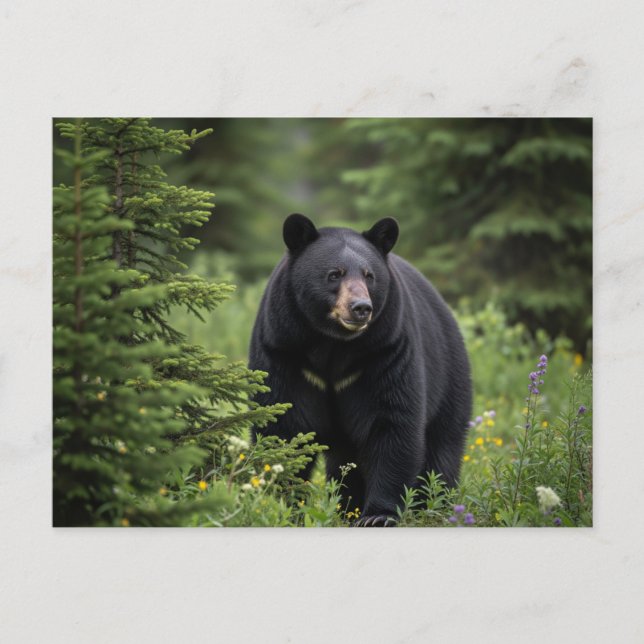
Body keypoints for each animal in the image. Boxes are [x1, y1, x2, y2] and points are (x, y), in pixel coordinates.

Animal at [249, 214, 472, 526]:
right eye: (334, 274)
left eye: (369, 275)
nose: (361, 307)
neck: (333, 345)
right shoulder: (282, 350)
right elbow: (284, 426)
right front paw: (285, 506)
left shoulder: (386, 352)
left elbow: (392, 424)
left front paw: (378, 515)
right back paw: (346, 507)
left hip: (449, 378)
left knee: (442, 449)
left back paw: (434, 504)